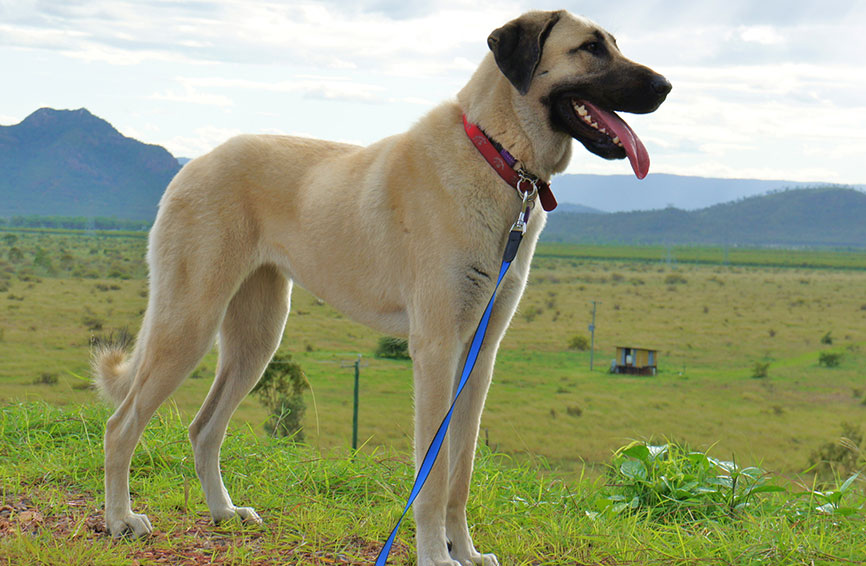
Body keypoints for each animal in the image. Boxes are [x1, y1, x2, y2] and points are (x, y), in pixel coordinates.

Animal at [93, 10, 668, 566]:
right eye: (590, 48)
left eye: (613, 43)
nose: (666, 87)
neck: (496, 153)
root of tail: (193, 163)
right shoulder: (435, 351)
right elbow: (433, 477)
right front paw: (436, 555)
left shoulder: (478, 358)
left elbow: (461, 472)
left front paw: (466, 551)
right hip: (189, 322)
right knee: (121, 426)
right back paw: (121, 520)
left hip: (257, 338)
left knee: (204, 428)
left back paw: (223, 512)